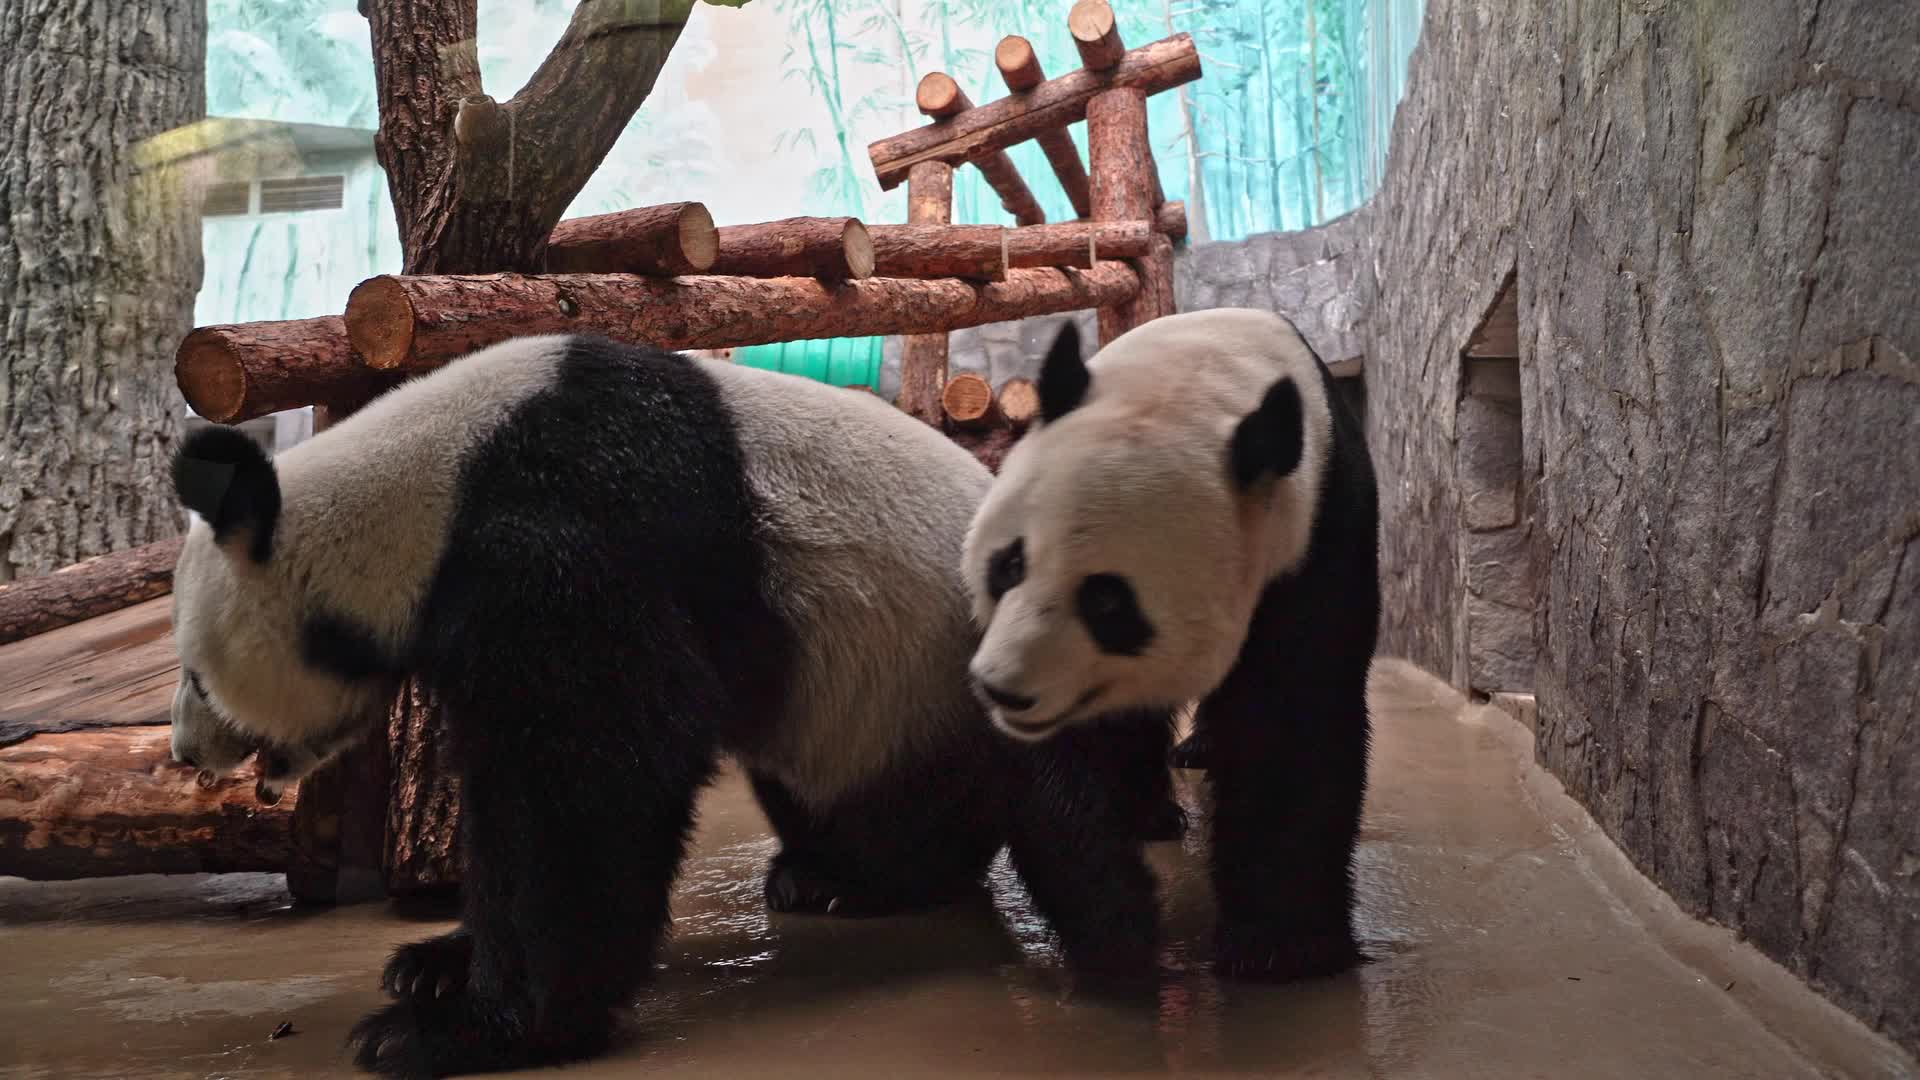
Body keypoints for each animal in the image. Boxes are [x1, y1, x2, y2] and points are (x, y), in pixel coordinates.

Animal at [960, 307, 1382, 980]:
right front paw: (1115, 928)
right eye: (1009, 564)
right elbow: (1064, 757)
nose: (1005, 691)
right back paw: (1150, 812)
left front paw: (1280, 947)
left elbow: (1294, 716)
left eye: (1108, 602)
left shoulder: (1318, 535)